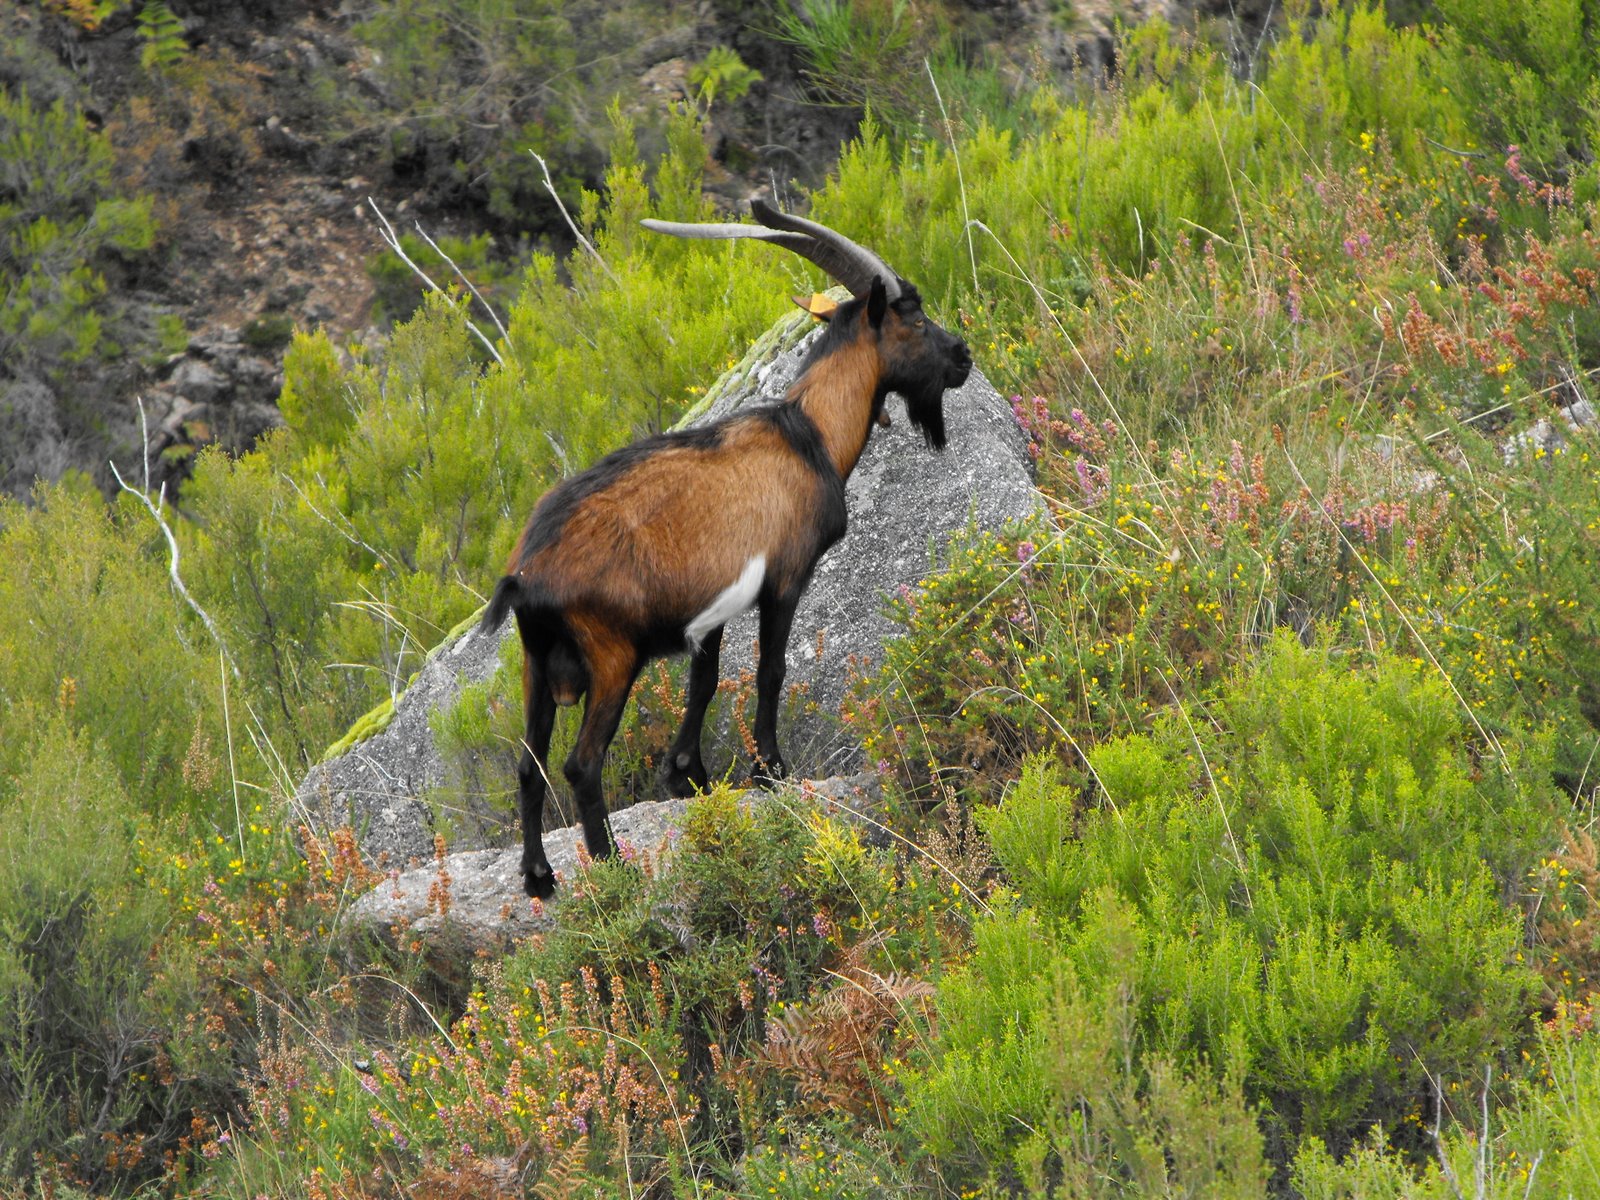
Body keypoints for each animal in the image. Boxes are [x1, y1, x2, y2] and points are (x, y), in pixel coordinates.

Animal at [480, 200, 973, 898]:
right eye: (917, 316)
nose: (963, 356)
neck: (809, 433)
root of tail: (525, 574)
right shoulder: (786, 578)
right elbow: (771, 670)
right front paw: (771, 770)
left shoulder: (711, 608)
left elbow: (705, 680)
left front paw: (688, 776)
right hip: (612, 656)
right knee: (580, 764)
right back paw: (612, 866)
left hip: (534, 663)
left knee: (529, 764)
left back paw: (539, 878)